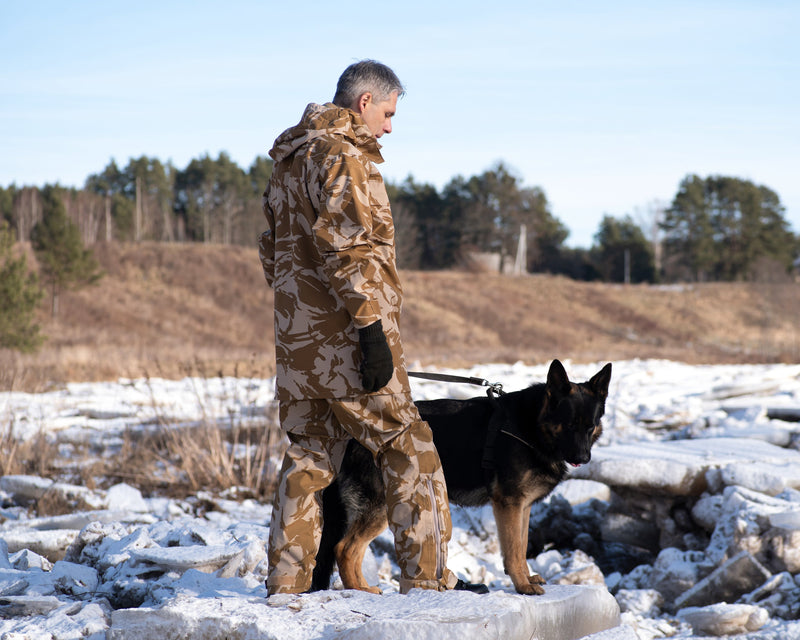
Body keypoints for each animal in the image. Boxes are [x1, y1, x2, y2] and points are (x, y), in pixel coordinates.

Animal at [310, 360, 608, 596]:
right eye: (568, 424)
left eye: (590, 426)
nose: (583, 458)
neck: (531, 425)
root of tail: (350, 436)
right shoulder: (509, 504)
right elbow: (513, 550)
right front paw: (522, 585)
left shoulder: (522, 506)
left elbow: (522, 545)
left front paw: (527, 577)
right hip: (383, 505)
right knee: (344, 549)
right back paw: (360, 590)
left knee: (349, 550)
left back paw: (363, 588)